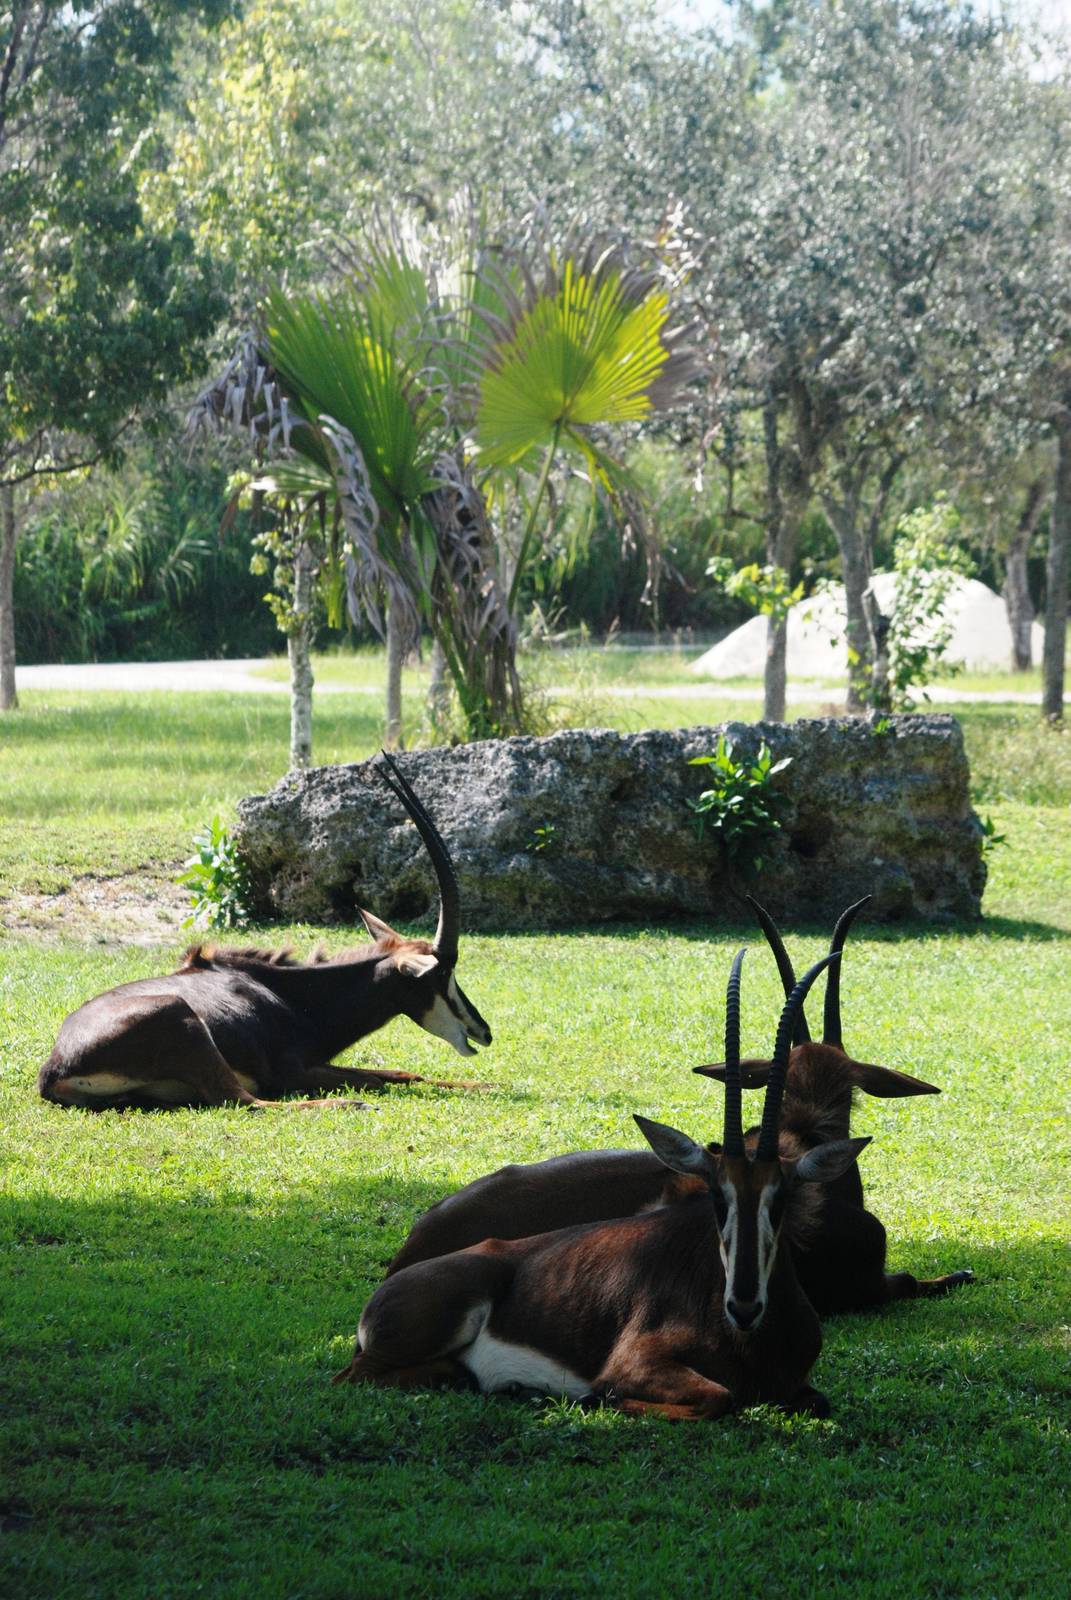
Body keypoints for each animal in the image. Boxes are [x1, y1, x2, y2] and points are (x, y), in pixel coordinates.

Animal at [37, 755, 491, 1111]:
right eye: (441, 975)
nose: (482, 1032)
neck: (290, 998)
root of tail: (53, 1068)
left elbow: (402, 1072)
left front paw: (484, 1082)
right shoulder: (292, 1071)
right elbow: (377, 1078)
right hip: (183, 1022)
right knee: (244, 1101)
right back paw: (348, 1104)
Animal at [334, 951, 867, 1418]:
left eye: (782, 1197)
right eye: (718, 1196)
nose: (743, 1306)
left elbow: (815, 1400)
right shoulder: (635, 1363)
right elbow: (720, 1397)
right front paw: (596, 1398)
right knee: (355, 1376)